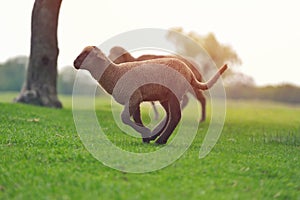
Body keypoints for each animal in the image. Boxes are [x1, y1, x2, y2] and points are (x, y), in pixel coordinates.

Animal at [73, 46, 227, 145]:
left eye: (86, 54)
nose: (74, 63)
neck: (115, 73)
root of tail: (189, 72)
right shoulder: (136, 99)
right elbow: (137, 118)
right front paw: (146, 137)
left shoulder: (133, 97)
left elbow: (124, 118)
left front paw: (146, 133)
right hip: (165, 96)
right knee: (170, 115)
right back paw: (156, 136)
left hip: (174, 93)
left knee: (176, 116)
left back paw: (160, 140)